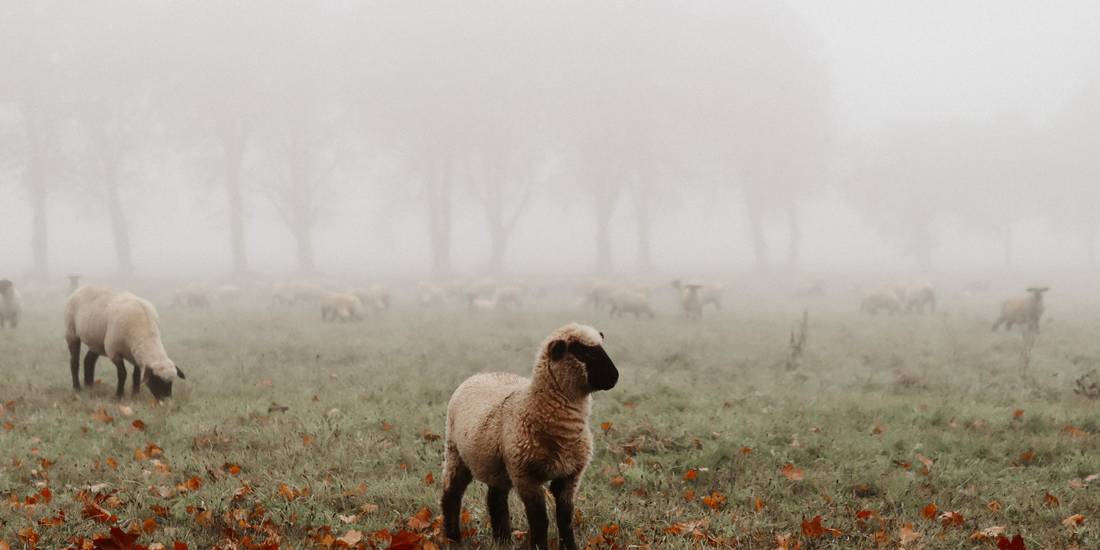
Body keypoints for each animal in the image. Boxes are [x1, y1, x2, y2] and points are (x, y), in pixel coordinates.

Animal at [440, 323, 620, 547]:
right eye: (584, 352)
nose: (614, 376)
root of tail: (480, 374)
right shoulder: (526, 476)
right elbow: (539, 519)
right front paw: (539, 545)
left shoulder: (570, 476)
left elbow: (565, 518)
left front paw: (570, 546)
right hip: (455, 451)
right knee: (452, 493)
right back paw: (453, 538)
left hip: (498, 464)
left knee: (495, 497)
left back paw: (503, 541)